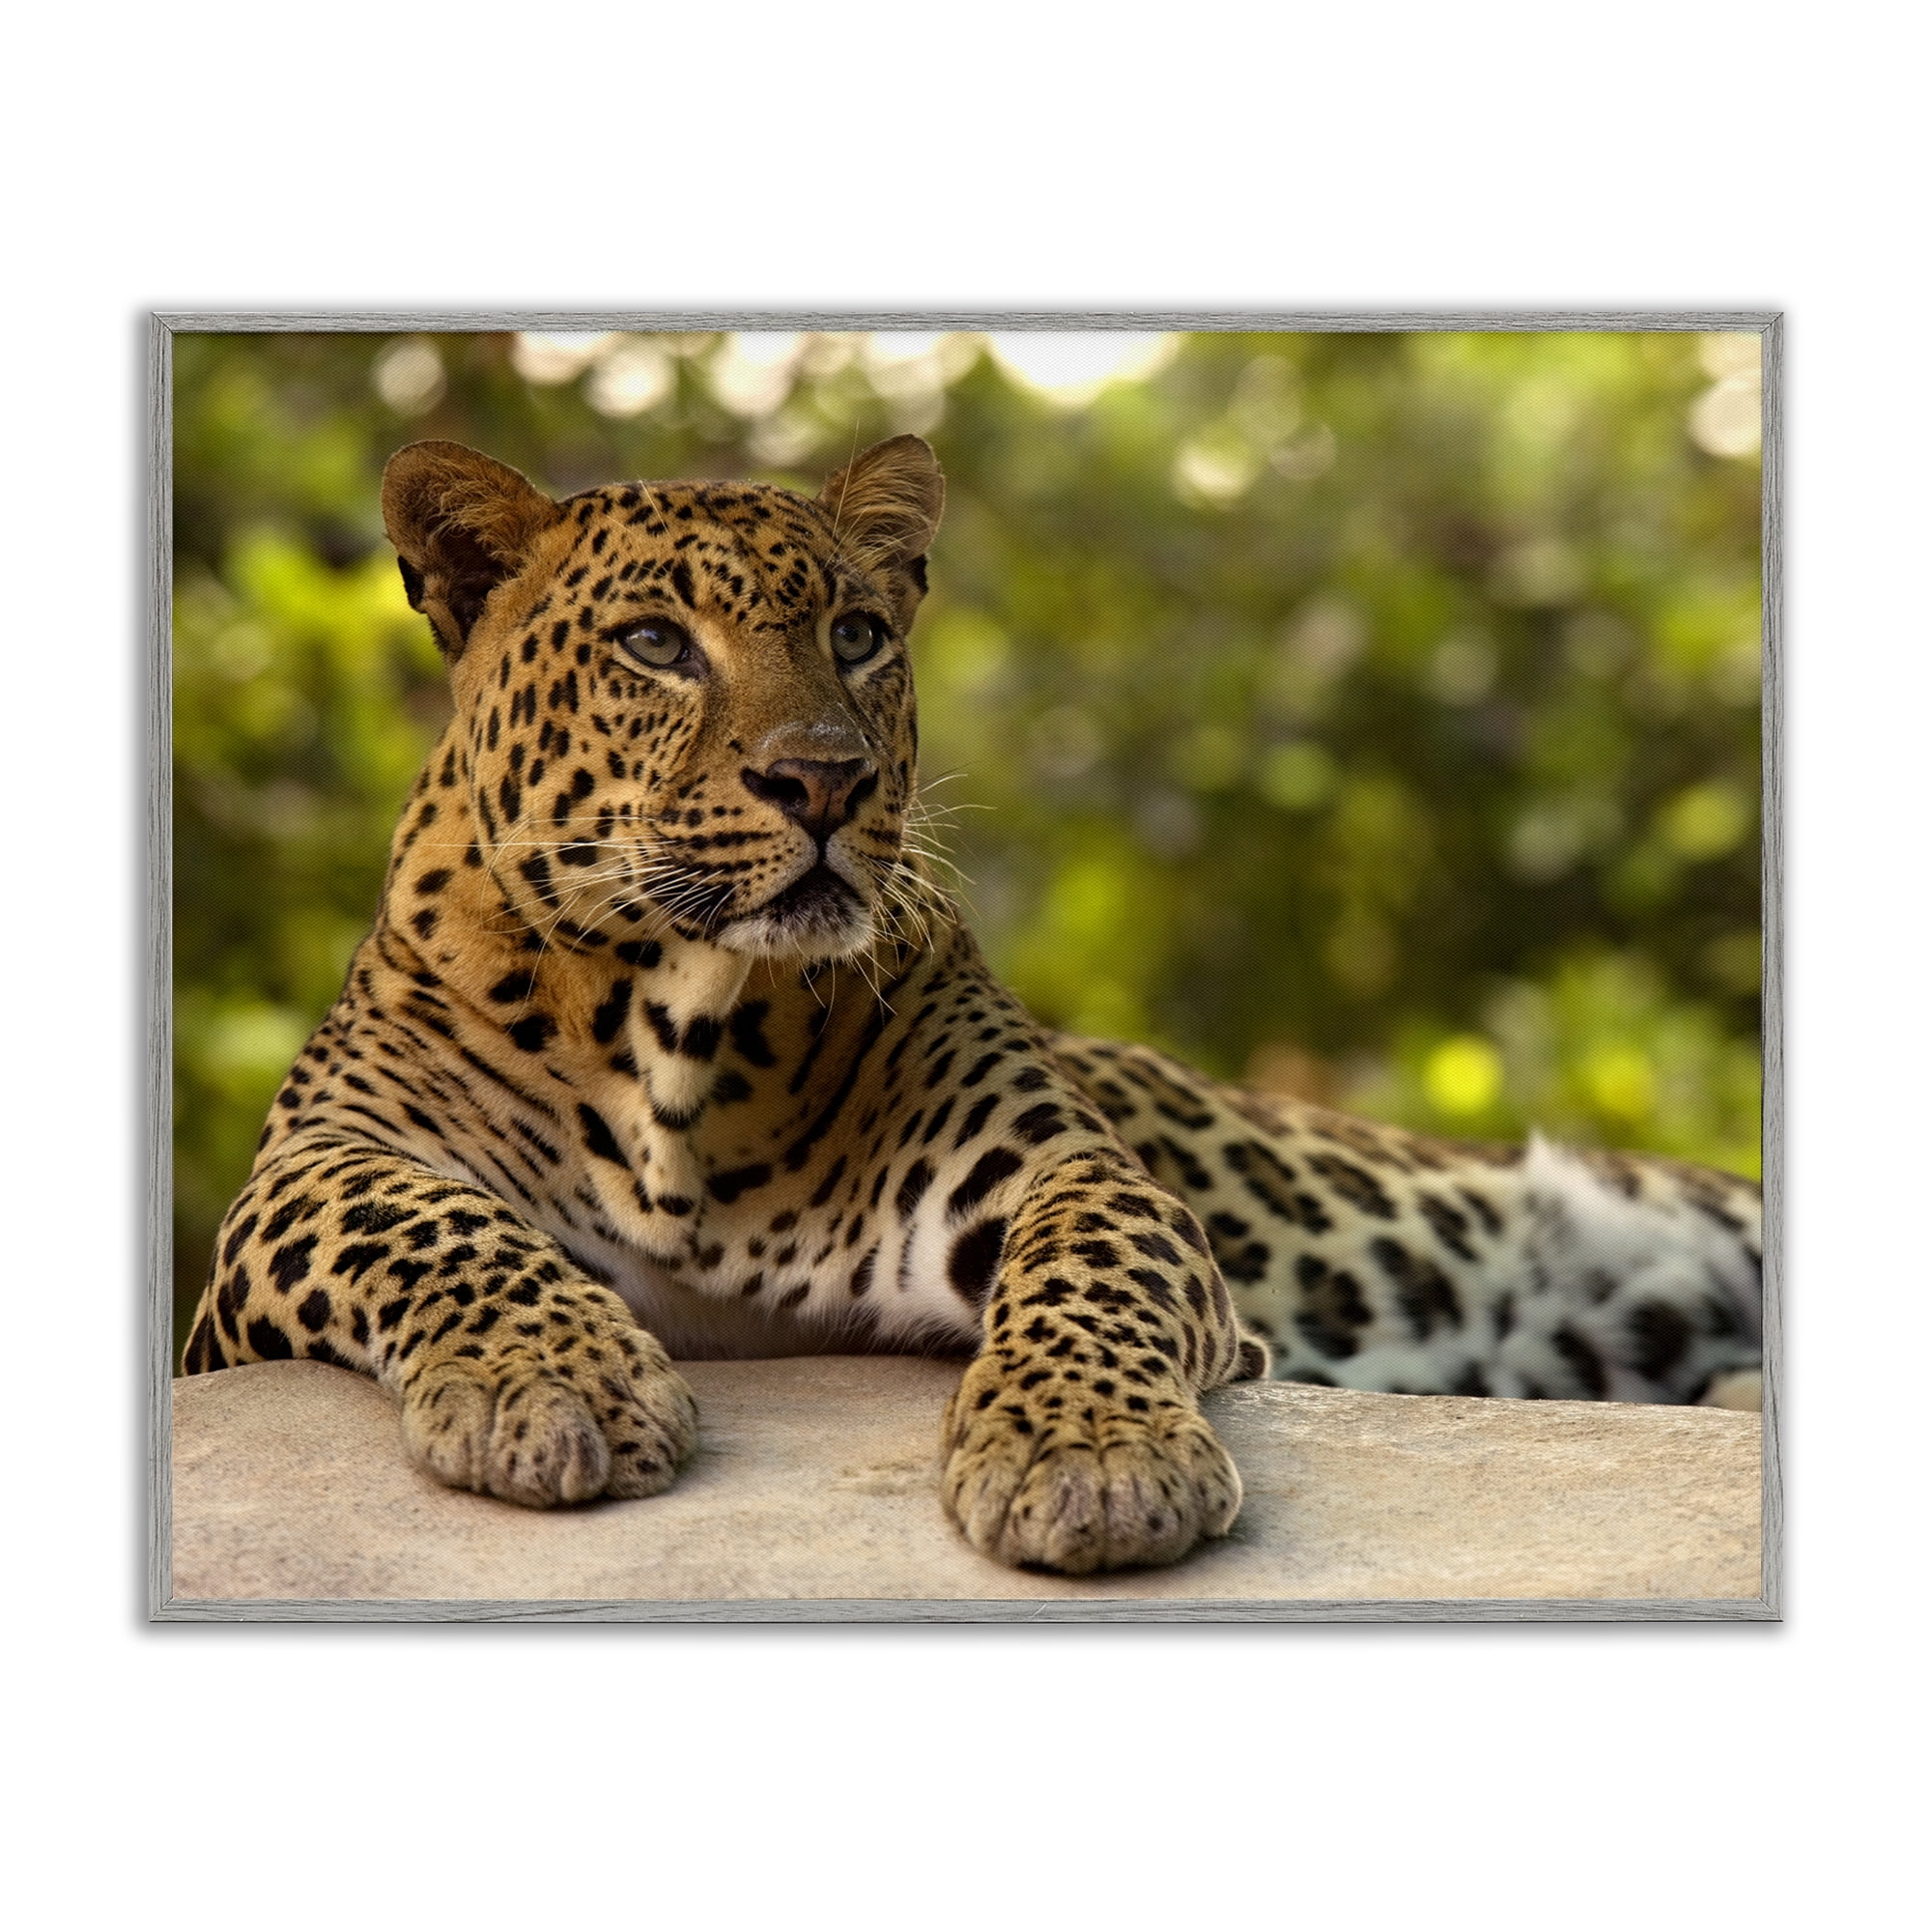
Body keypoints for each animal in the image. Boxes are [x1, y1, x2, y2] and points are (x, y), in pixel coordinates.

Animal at [181, 433, 1764, 1576]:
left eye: (858, 634)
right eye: (654, 644)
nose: (823, 780)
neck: (679, 1027)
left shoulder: (1052, 1165)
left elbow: (1088, 1267)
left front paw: (1089, 1458)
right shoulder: (295, 1186)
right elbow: (424, 1218)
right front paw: (553, 1383)